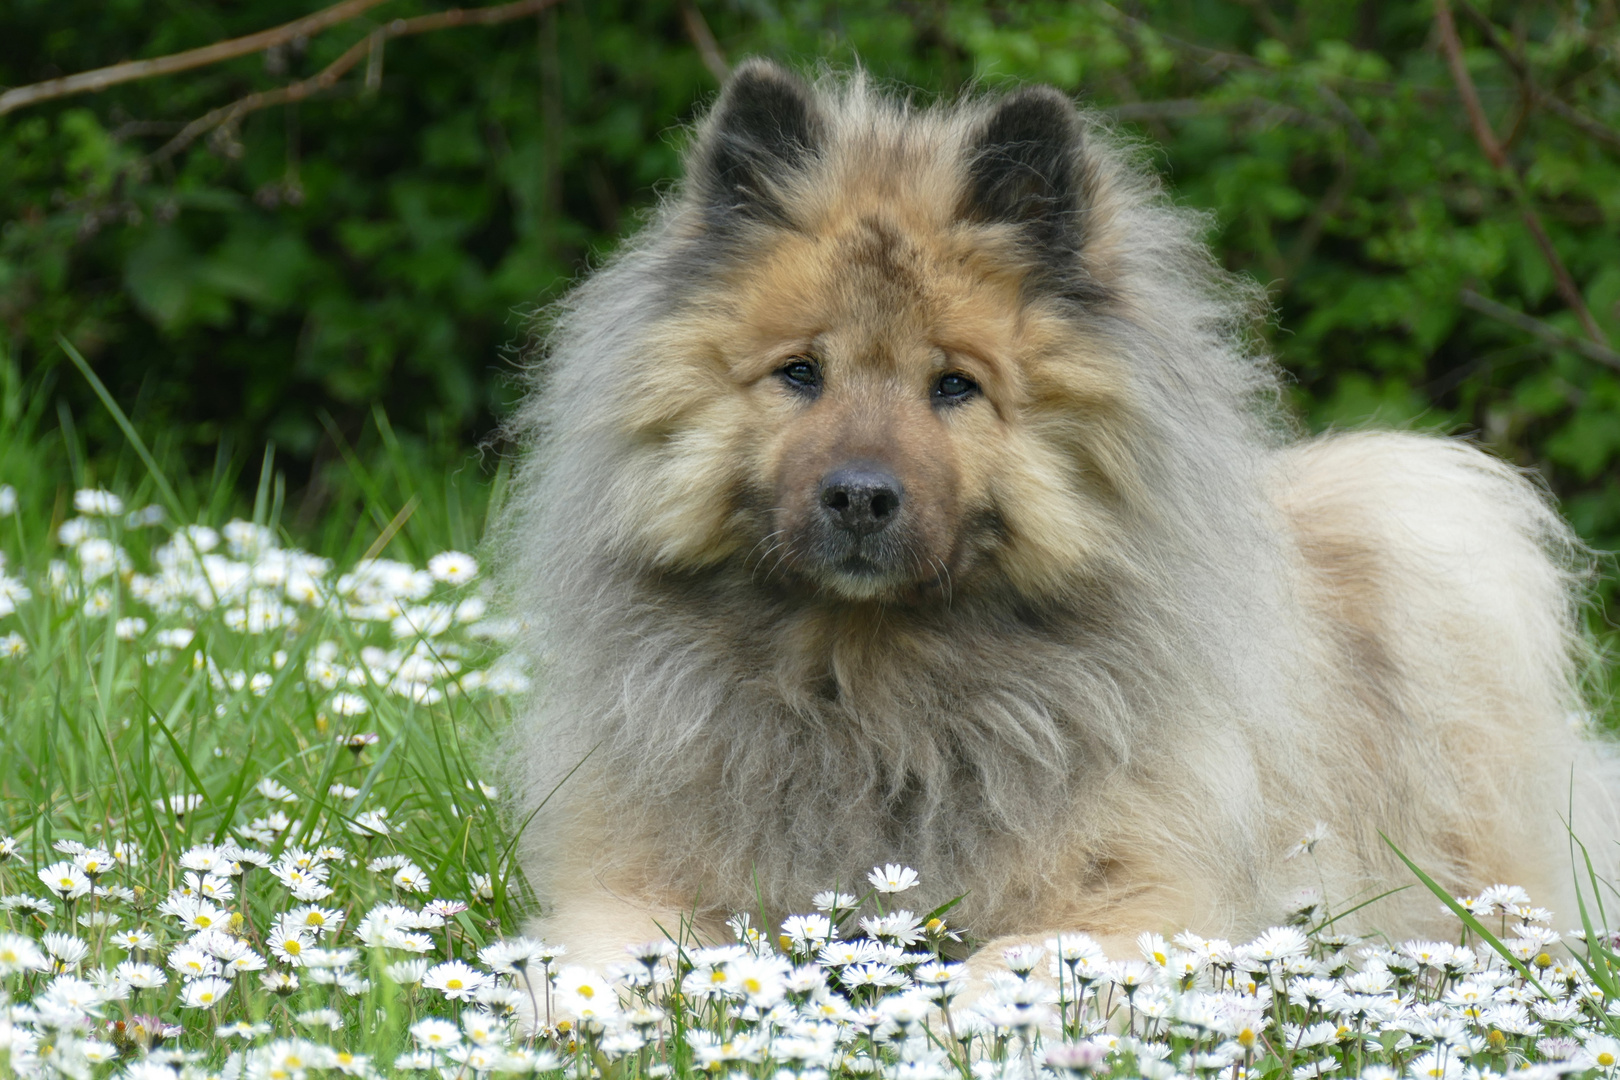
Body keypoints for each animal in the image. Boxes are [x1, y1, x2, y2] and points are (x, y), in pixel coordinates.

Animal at [498, 59, 1613, 971]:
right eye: (801, 375)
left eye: (954, 387)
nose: (859, 495)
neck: (872, 687)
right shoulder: (632, 884)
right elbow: (608, 960)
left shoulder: (1134, 900)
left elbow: (1006, 972)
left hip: (1423, 518)